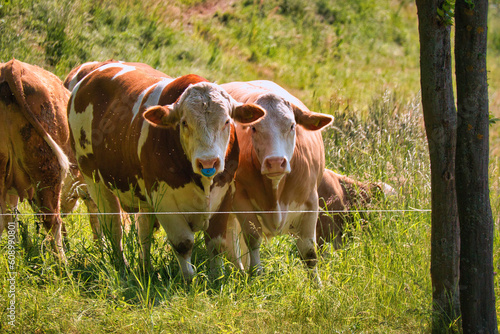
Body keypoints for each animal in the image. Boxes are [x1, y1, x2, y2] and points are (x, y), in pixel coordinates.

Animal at [69, 60, 270, 280]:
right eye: (184, 123)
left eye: (227, 121)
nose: (208, 162)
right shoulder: (164, 200)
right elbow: (183, 243)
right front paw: (189, 280)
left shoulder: (225, 194)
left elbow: (216, 244)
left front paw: (216, 278)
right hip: (93, 179)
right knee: (113, 227)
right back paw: (121, 267)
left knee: (144, 230)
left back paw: (145, 268)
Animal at [222, 79, 332, 280]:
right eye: (254, 128)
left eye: (292, 126)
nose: (275, 162)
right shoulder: (240, 200)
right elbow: (253, 239)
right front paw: (256, 275)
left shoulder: (311, 202)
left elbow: (309, 252)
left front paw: (317, 285)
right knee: (232, 237)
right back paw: (240, 269)